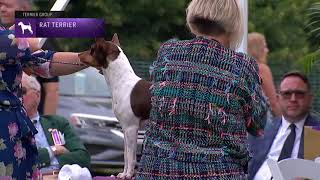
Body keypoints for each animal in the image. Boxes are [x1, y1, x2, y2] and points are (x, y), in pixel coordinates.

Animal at [79, 33, 151, 179]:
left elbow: (131, 156)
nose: (78, 54)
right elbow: (126, 156)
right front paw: (123, 174)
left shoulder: (131, 128)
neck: (122, 81)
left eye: (92, 49)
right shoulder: (125, 128)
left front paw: (128, 175)